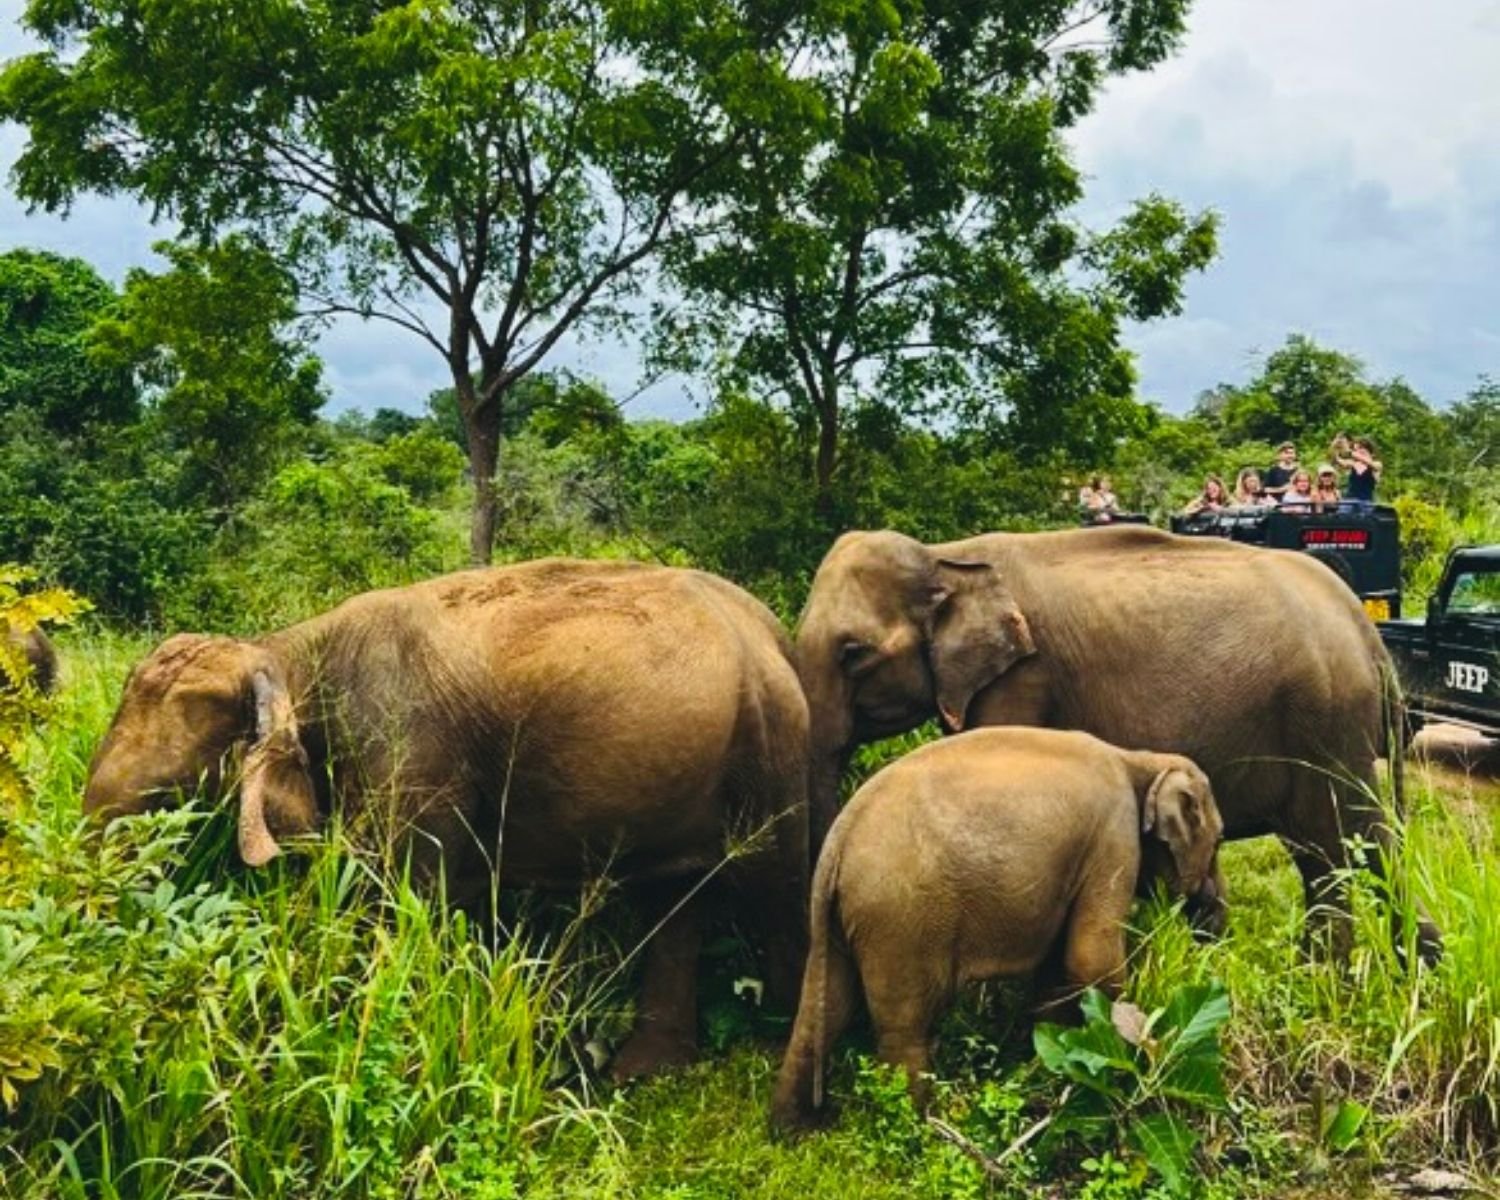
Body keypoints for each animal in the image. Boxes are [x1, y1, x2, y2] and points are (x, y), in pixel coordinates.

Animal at [84, 558, 810, 1077]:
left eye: (167, 795)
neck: (287, 649)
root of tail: (774, 630)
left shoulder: (412, 760)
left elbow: (397, 900)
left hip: (772, 749)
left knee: (775, 883)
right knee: (675, 898)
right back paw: (642, 1072)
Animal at [771, 727, 1224, 1129]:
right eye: (1219, 838)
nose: (1212, 925)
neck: (1139, 759)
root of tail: (839, 840)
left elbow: (1056, 971)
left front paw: (1044, 1060)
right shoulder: (1114, 834)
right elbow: (1090, 958)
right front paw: (1146, 1044)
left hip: (843, 919)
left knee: (822, 1009)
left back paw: (794, 1130)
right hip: (901, 921)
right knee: (904, 1027)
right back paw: (918, 1129)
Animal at [795, 526, 1441, 962]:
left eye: (853, 654)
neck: (947, 554)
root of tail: (1365, 631)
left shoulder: (1023, 680)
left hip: (1327, 725)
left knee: (1349, 847)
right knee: (1326, 854)